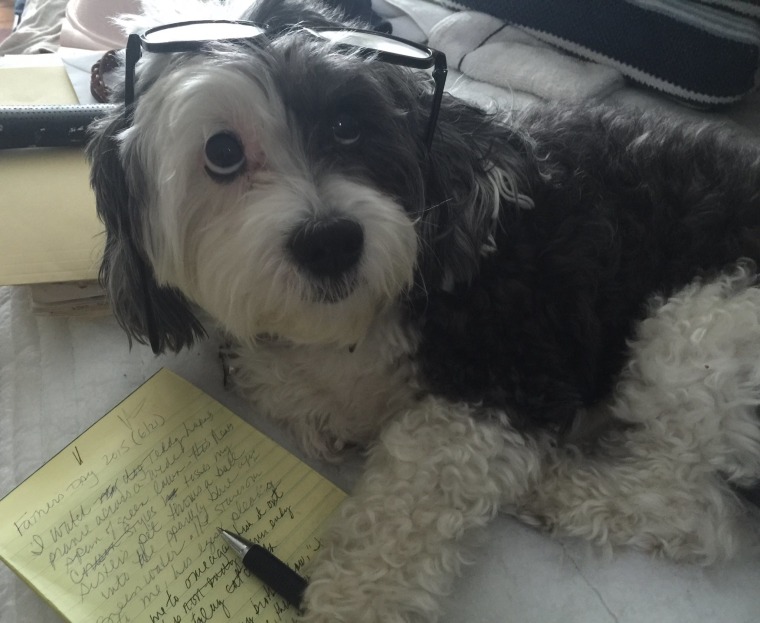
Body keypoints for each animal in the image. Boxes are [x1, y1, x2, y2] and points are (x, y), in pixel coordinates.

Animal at [89, 1, 760, 623]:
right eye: (222, 152)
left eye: (348, 124)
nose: (331, 242)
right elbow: (294, 379)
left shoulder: (507, 368)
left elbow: (409, 498)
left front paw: (352, 603)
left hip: (700, 328)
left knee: (697, 505)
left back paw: (561, 485)